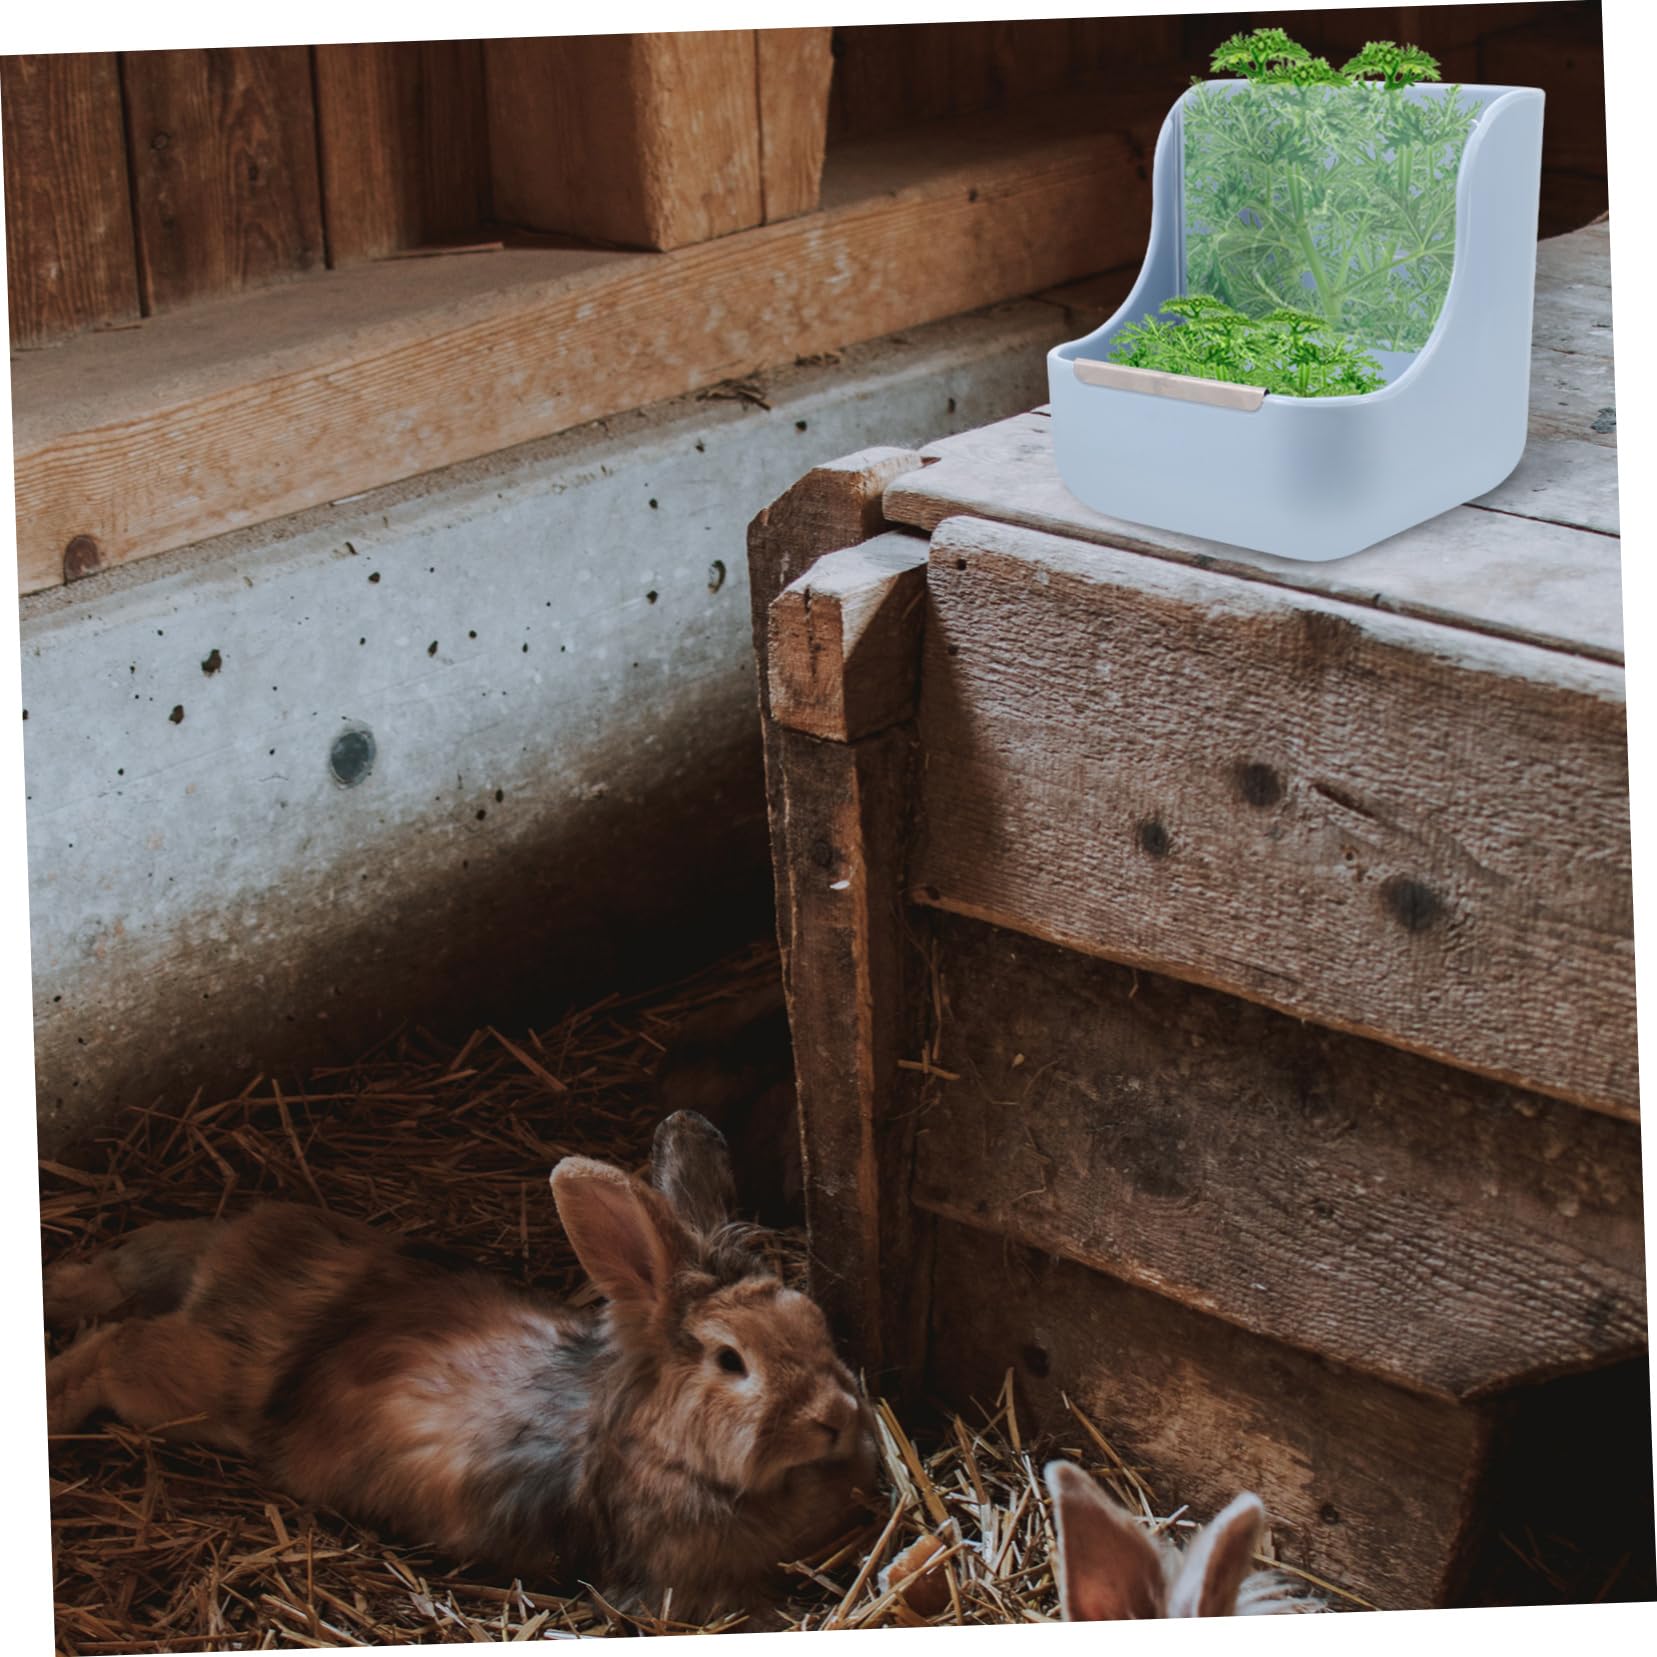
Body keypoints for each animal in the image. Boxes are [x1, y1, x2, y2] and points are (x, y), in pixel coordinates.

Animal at [43, 1110, 878, 1624]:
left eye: (813, 1323)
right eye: (731, 1360)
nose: (834, 1418)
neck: (660, 1448)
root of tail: (233, 1254)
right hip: (192, 1386)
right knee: (114, 1343)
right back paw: (51, 1401)